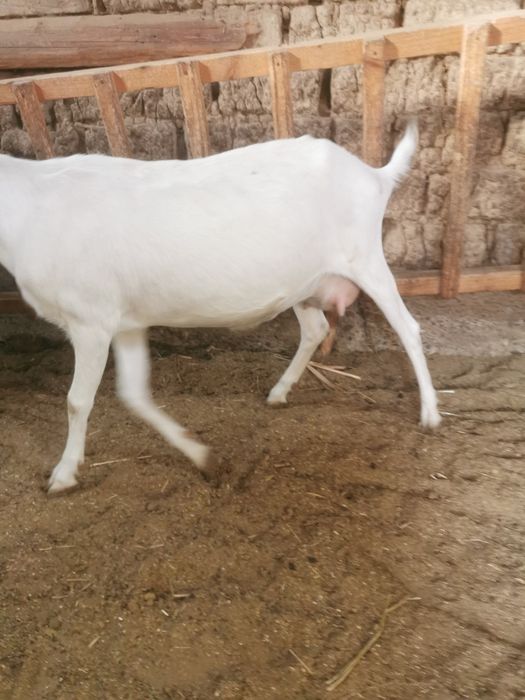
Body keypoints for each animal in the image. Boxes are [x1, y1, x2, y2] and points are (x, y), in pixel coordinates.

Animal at [0, 121, 441, 493]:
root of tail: (374, 174)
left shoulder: (90, 320)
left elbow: (77, 401)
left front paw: (63, 473)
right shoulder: (125, 321)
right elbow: (134, 394)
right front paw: (202, 456)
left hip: (365, 257)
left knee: (408, 328)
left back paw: (431, 414)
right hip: (306, 282)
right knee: (315, 329)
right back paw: (279, 391)